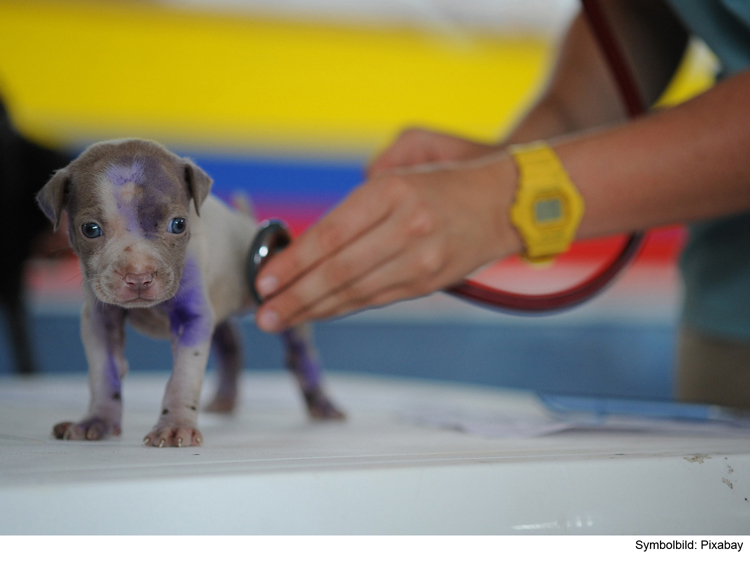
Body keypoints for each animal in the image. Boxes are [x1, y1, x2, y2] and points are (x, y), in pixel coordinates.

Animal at [36, 139, 346, 448]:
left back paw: (323, 404)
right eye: (90, 229)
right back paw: (225, 399)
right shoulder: (99, 321)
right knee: (231, 343)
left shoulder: (193, 319)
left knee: (300, 353)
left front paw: (174, 425)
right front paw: (97, 420)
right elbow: (104, 373)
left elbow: (183, 378)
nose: (139, 276)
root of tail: (246, 222)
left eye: (179, 224)